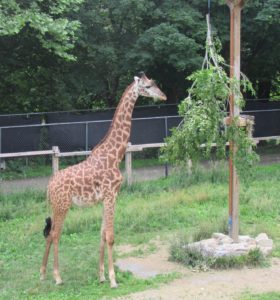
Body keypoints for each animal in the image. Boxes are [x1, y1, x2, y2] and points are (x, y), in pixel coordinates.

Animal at [39, 72, 166, 288]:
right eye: (148, 86)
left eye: (155, 83)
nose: (164, 96)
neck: (115, 156)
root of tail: (49, 185)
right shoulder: (110, 195)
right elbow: (110, 236)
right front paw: (113, 280)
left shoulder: (106, 198)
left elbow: (101, 234)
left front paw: (101, 276)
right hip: (63, 206)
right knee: (55, 234)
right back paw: (57, 277)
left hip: (56, 206)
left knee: (49, 233)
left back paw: (42, 274)